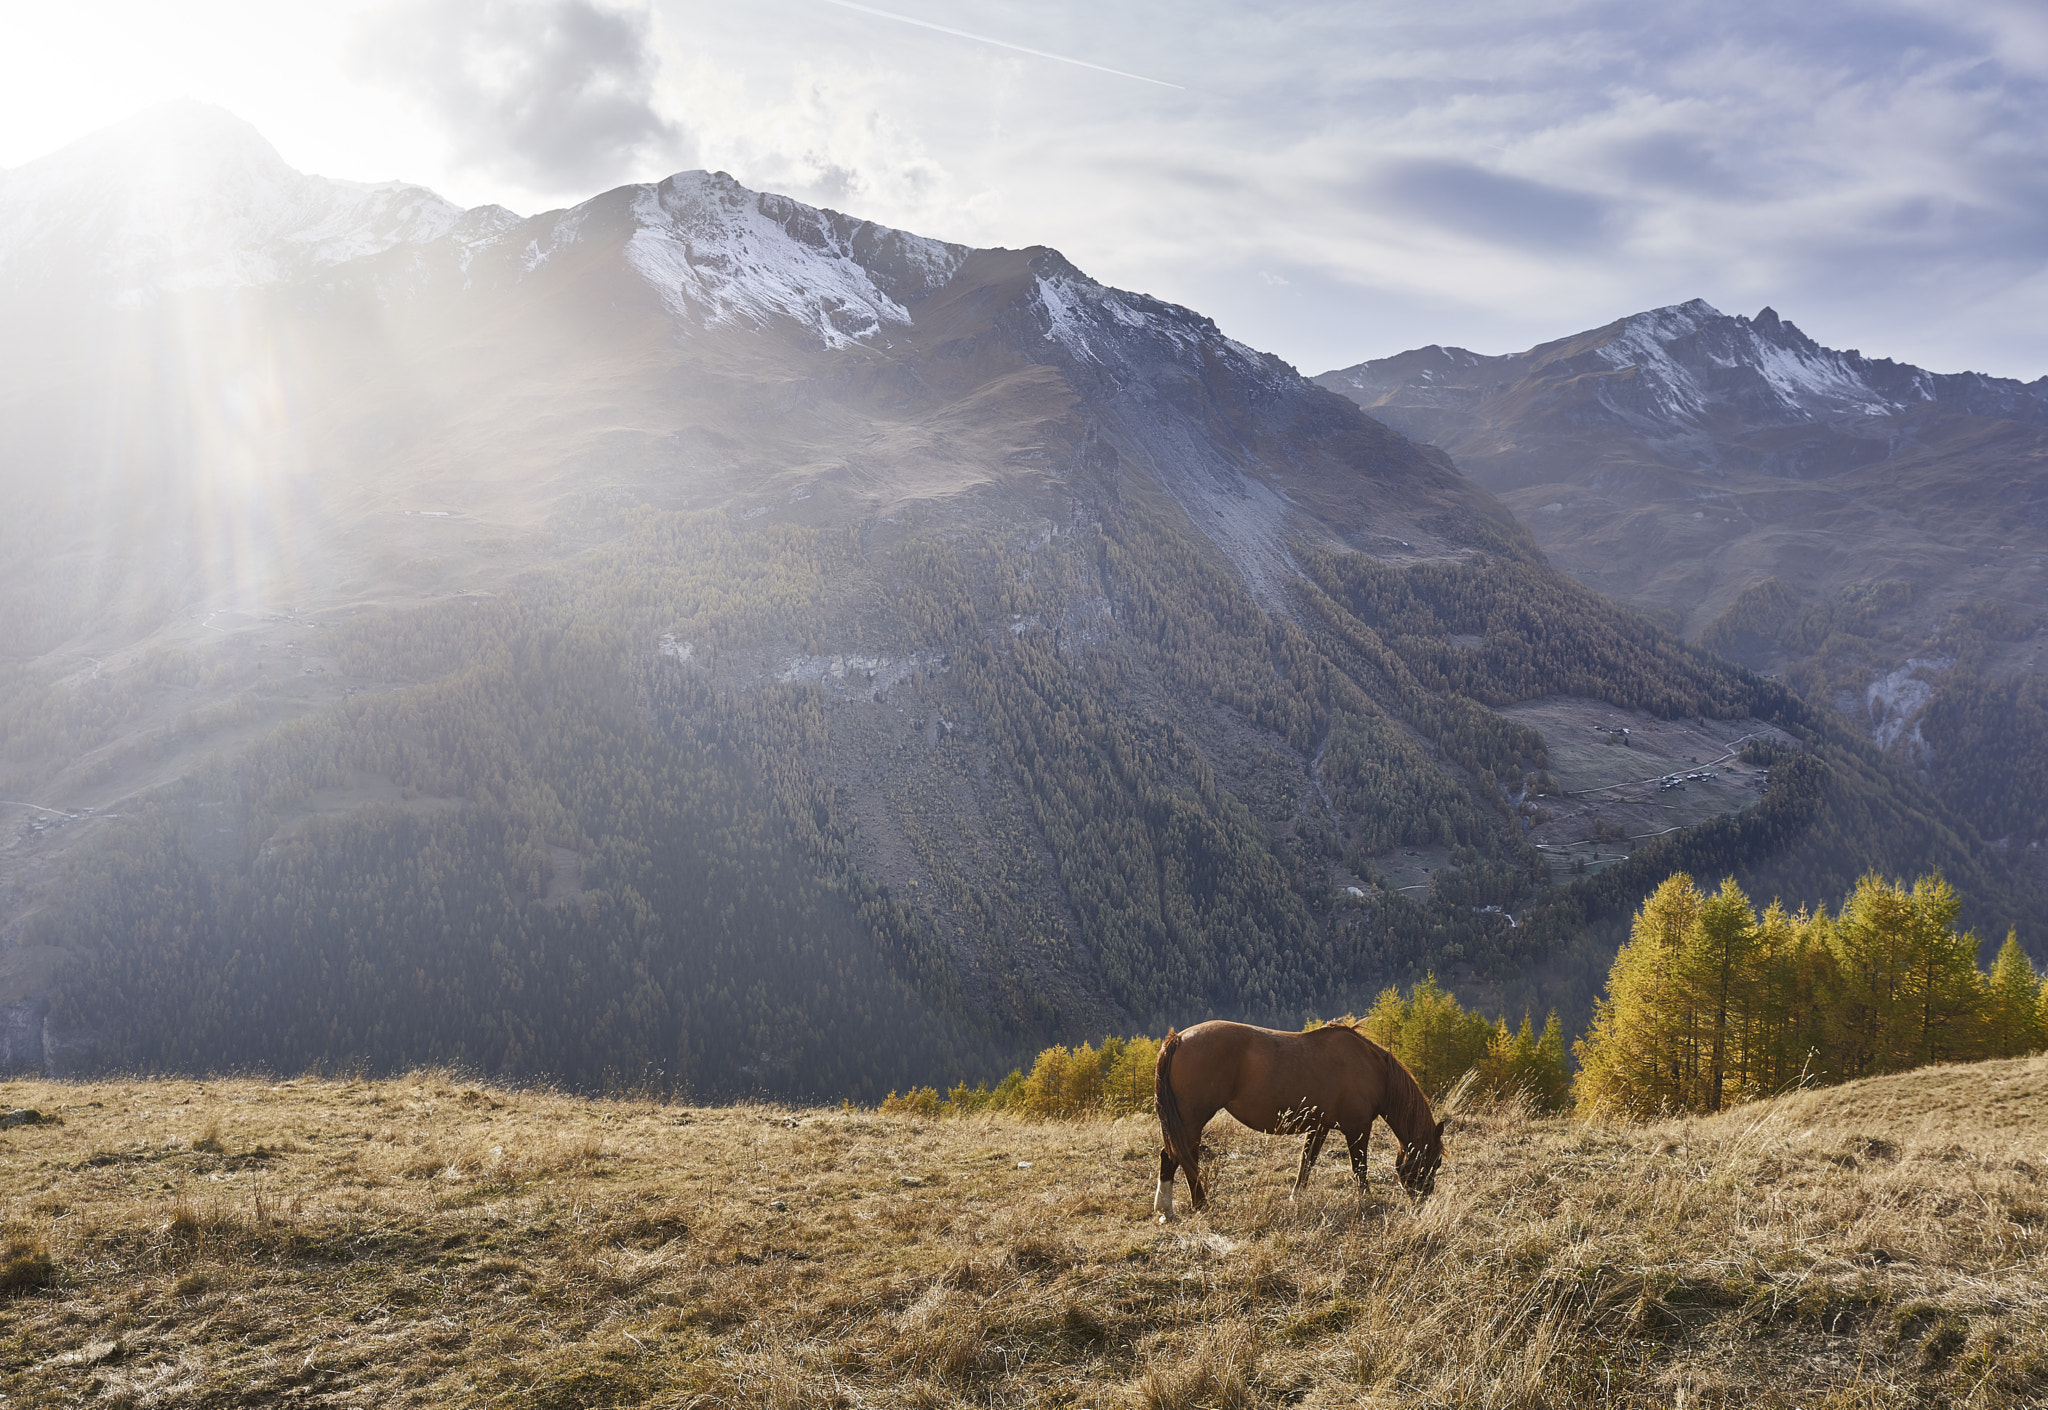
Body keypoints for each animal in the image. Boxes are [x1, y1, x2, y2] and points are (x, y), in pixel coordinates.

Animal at [1155, 1012, 1441, 1221]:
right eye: (1434, 1162)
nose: (1424, 1202)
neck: (1373, 1069)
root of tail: (1178, 1038)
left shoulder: (1319, 1127)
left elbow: (1307, 1162)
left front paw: (1296, 1196)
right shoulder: (1358, 1128)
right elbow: (1359, 1167)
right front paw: (1368, 1200)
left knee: (1173, 1156)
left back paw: (1167, 1209)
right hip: (1191, 1120)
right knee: (1181, 1157)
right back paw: (1198, 1204)